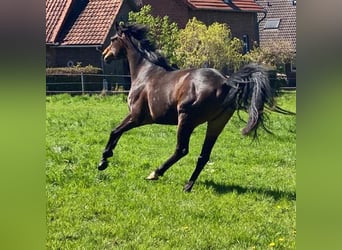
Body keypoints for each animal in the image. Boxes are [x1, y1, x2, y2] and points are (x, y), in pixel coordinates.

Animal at [99, 23, 294, 191]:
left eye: (113, 39)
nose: (104, 54)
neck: (145, 73)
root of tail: (226, 82)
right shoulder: (140, 119)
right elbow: (117, 132)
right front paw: (106, 158)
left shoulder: (137, 116)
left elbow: (115, 131)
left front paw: (103, 160)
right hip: (216, 123)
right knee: (204, 155)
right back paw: (188, 185)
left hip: (186, 119)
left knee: (181, 150)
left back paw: (155, 173)